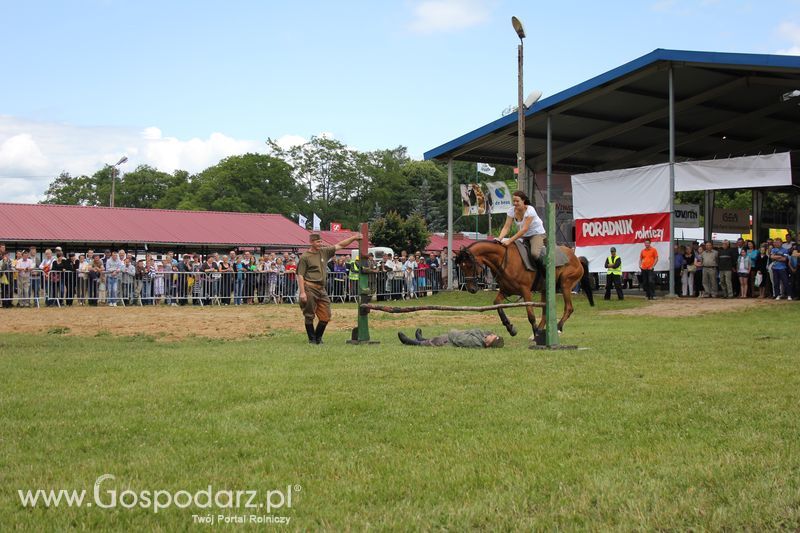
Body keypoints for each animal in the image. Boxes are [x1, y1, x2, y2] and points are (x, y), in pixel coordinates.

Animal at [456, 240, 592, 336]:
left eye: (470, 265)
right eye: (461, 267)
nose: (471, 289)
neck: (505, 260)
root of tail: (576, 258)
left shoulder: (525, 291)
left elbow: (531, 315)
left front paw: (535, 332)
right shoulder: (506, 291)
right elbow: (497, 305)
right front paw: (510, 328)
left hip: (565, 285)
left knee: (568, 308)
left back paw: (557, 328)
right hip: (545, 290)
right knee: (545, 311)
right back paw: (542, 330)